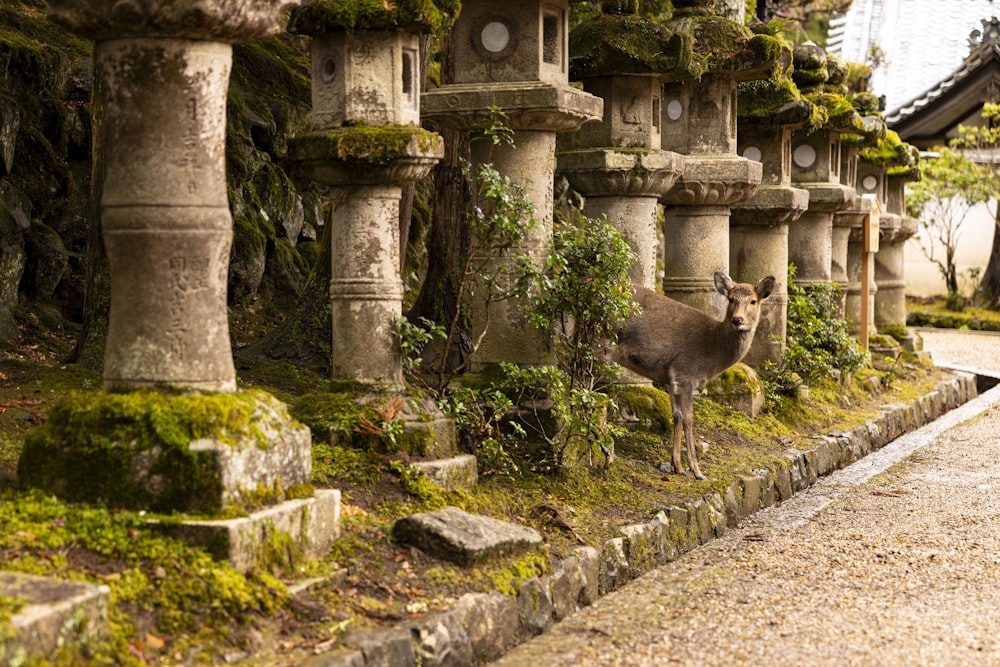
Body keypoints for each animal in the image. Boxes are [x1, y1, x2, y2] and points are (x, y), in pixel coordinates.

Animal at [612, 272, 776, 480]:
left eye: (753, 301)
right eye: (731, 299)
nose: (737, 320)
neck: (713, 349)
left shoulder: (671, 379)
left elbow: (676, 415)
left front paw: (677, 466)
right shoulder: (686, 374)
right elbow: (688, 418)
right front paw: (697, 471)